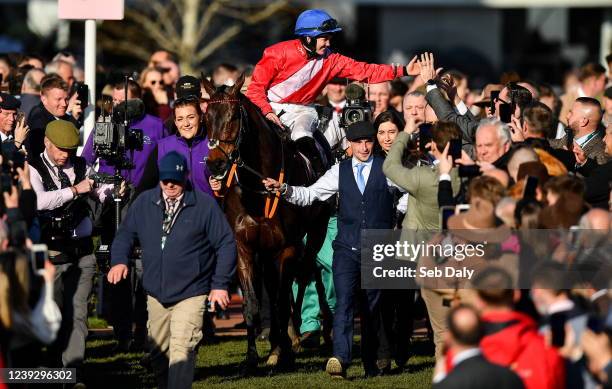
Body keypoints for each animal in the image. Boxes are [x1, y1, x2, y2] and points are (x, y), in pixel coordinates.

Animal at [202, 74, 332, 372]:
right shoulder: (245, 248)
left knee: (306, 275)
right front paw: (254, 359)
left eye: (233, 117)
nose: (215, 165)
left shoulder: (287, 248)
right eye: (206, 118)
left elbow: (282, 301)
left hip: (315, 232)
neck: (259, 188)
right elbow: (253, 304)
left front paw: (284, 353)